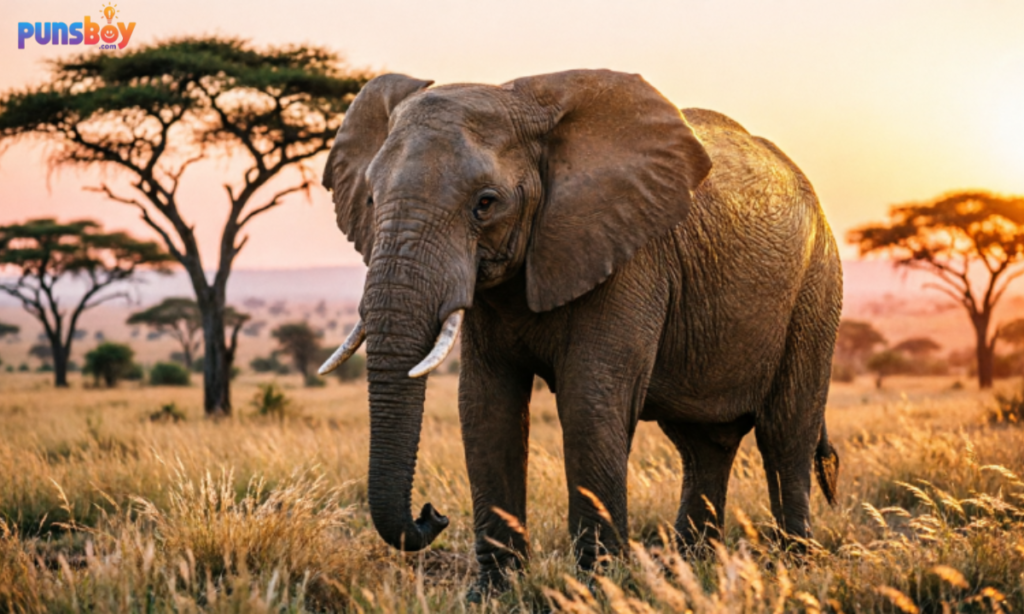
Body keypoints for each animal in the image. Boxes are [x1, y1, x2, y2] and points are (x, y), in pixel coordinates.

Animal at [319, 69, 842, 589]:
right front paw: (494, 593)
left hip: (816, 290)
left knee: (785, 434)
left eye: (485, 204)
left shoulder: (632, 256)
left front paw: (600, 589)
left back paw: (793, 568)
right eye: (371, 199)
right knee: (702, 444)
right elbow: (486, 405)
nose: (434, 514)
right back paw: (693, 571)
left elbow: (590, 401)